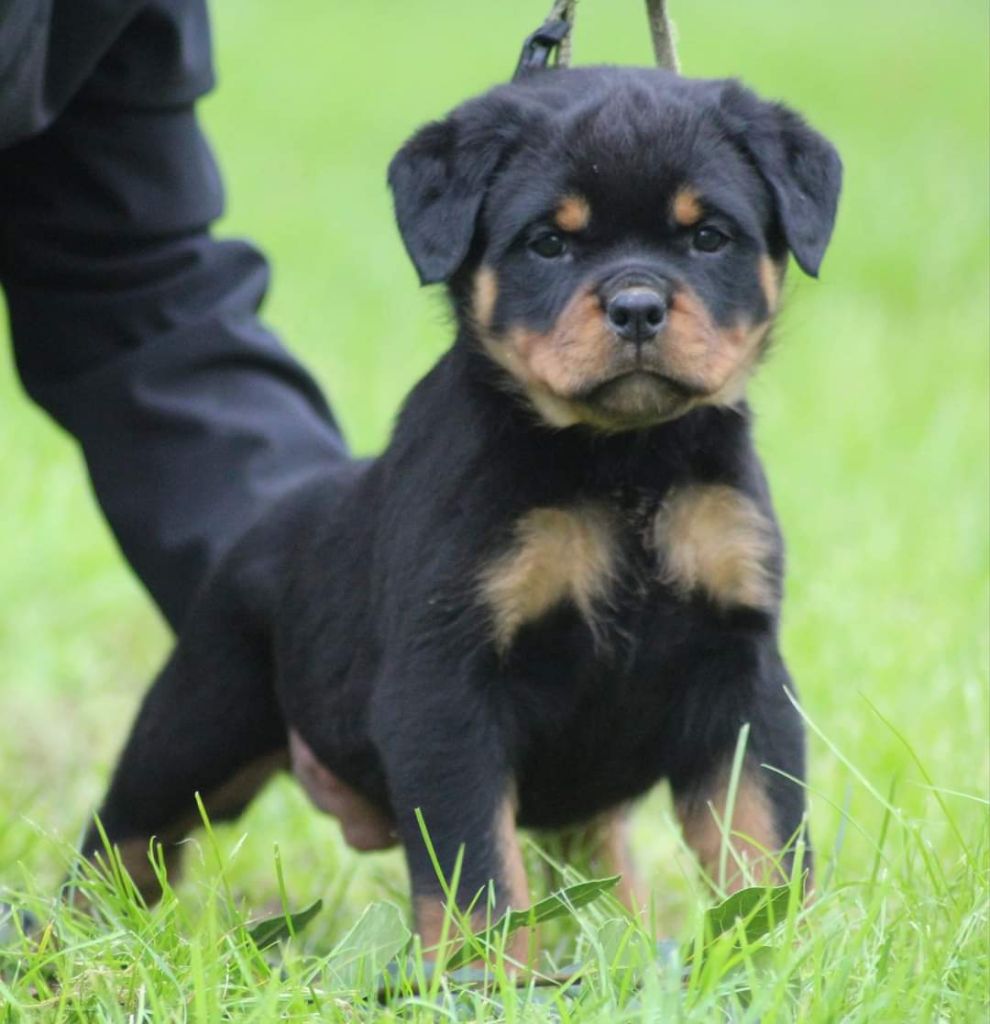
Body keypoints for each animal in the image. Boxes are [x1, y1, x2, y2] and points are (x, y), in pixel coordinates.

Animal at [79, 66, 835, 950]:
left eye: (708, 237)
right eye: (549, 243)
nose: (638, 307)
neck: (624, 464)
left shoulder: (741, 667)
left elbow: (763, 836)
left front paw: (783, 951)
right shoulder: (445, 684)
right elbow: (479, 875)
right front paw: (490, 973)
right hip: (200, 722)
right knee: (122, 838)